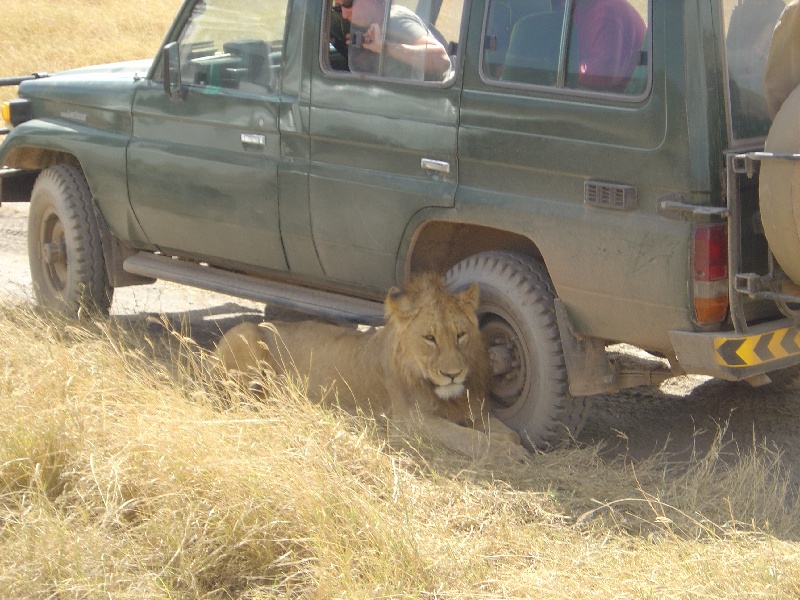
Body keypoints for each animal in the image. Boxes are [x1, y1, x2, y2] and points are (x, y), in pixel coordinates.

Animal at [215, 273, 528, 462]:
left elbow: (508, 432)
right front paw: (507, 452)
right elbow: (467, 438)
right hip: (246, 334)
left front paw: (508, 441)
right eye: (429, 338)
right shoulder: (409, 423)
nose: (452, 374)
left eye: (460, 335)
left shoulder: (472, 411)